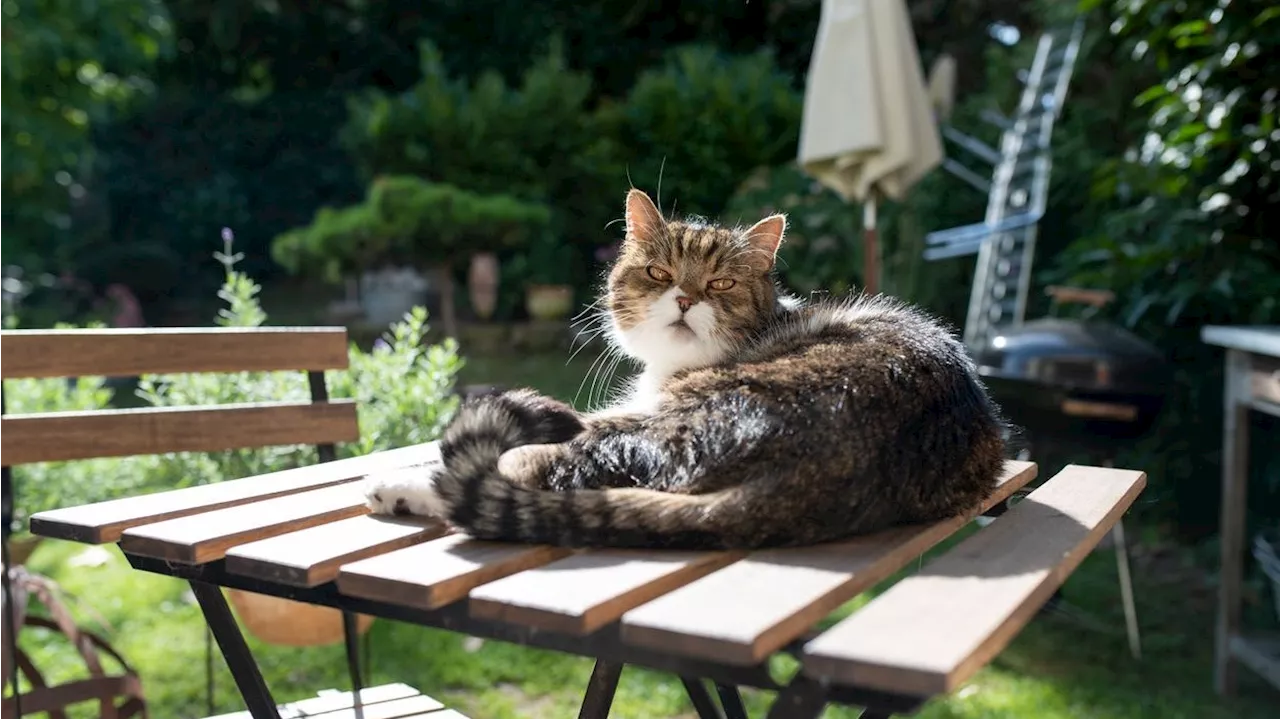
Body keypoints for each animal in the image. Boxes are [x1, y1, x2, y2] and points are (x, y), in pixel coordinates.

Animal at [363, 188, 1008, 545]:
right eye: (659, 273)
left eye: (720, 283)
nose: (686, 297)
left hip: (663, 423)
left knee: (536, 468)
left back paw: (401, 487)